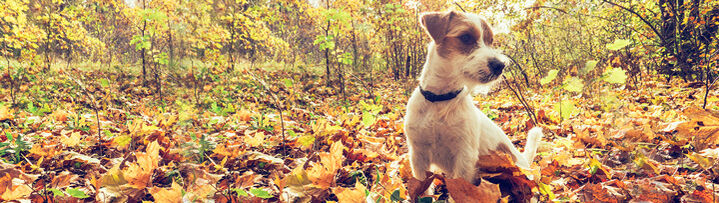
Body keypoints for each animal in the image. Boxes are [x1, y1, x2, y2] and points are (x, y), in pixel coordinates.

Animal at [408, 10, 544, 183]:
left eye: (490, 41)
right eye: (466, 37)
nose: (500, 65)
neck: (440, 100)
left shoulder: (464, 155)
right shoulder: (418, 155)